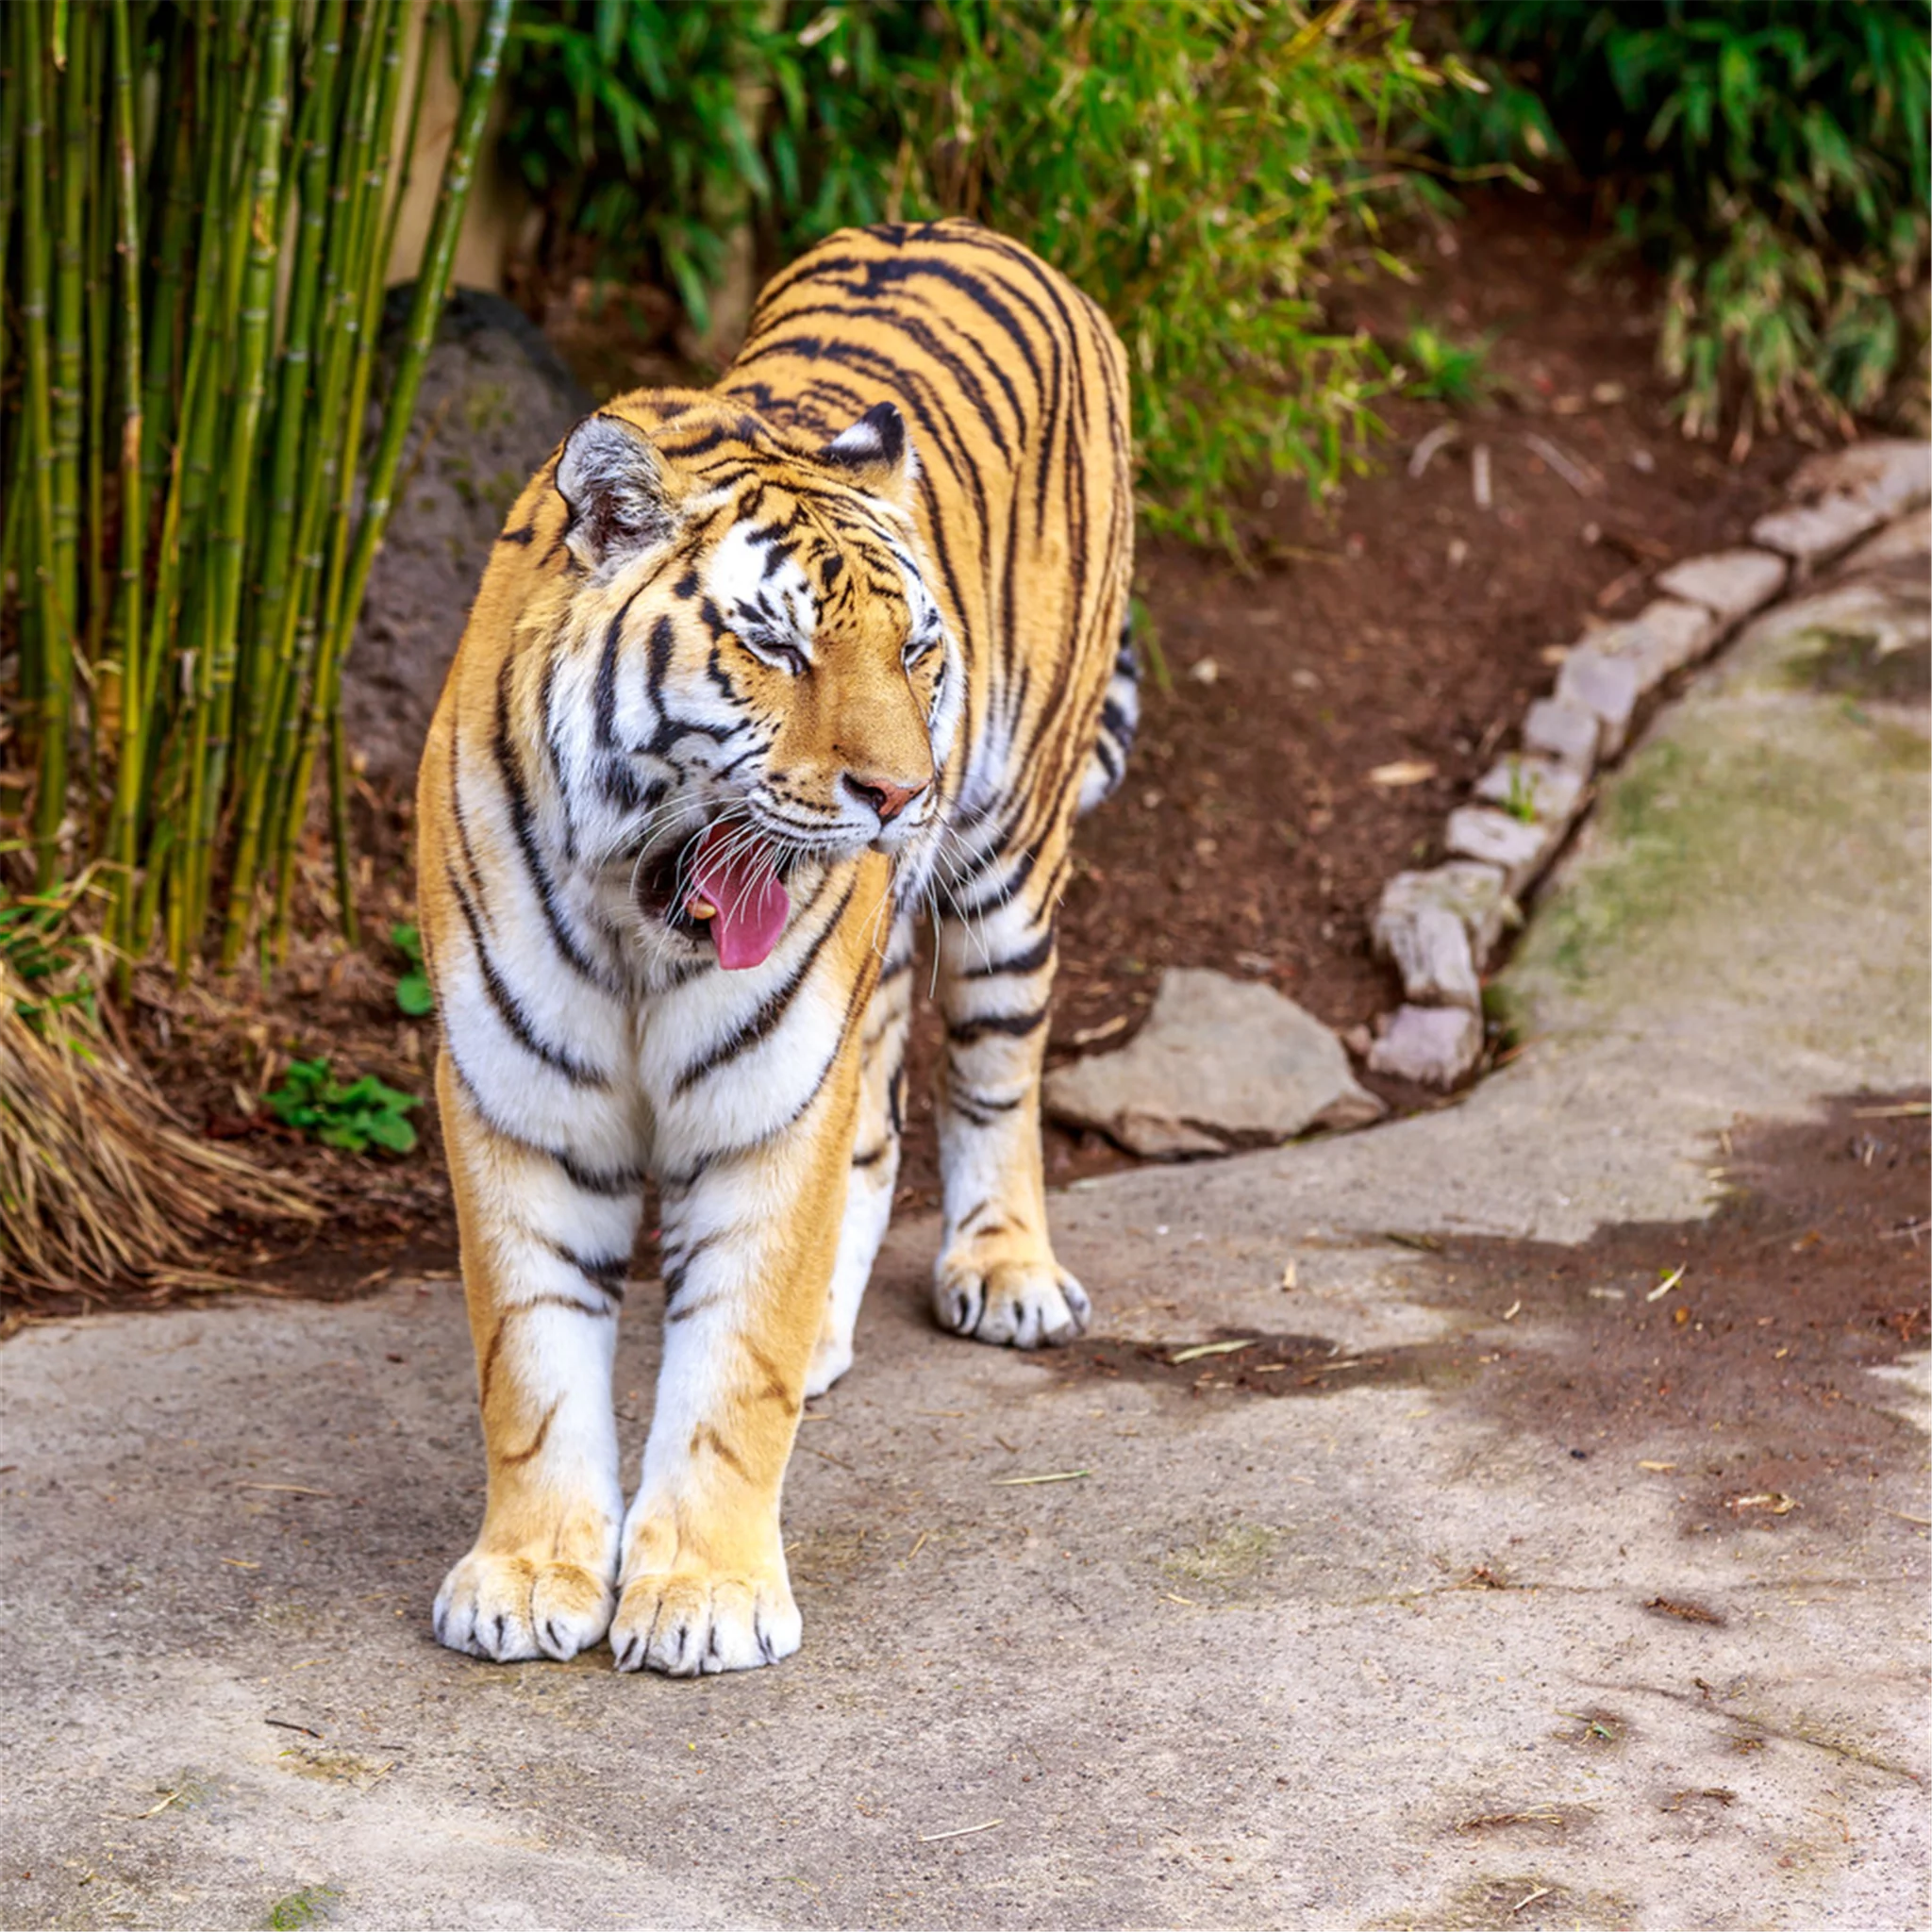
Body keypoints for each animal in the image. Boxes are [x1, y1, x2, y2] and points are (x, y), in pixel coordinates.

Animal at [409, 215, 1128, 1676]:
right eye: (778, 646)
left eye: (916, 650)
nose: (900, 795)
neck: (638, 905)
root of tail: (970, 226)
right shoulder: (517, 1098)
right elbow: (530, 1360)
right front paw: (527, 1575)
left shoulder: (765, 1098)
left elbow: (730, 1368)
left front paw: (701, 1595)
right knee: (881, 1126)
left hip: (1011, 862)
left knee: (994, 1074)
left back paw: (1008, 1270)